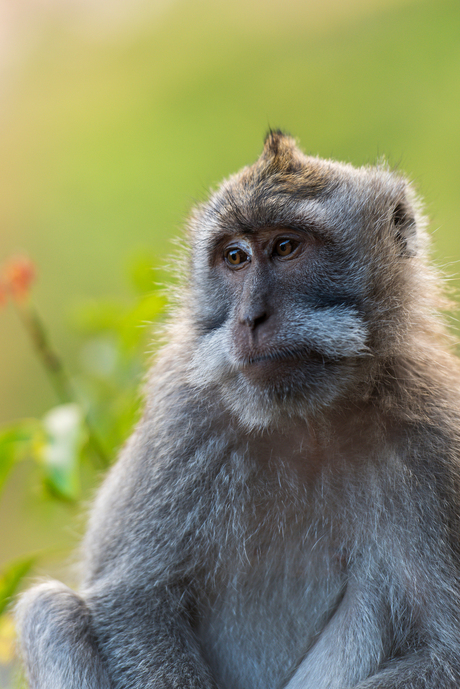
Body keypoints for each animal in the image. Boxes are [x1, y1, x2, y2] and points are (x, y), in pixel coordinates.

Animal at [16, 130, 460, 688]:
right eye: (235, 257)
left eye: (286, 246)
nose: (249, 318)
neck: (306, 417)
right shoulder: (184, 415)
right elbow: (135, 598)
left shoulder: (434, 432)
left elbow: (445, 649)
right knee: (50, 612)